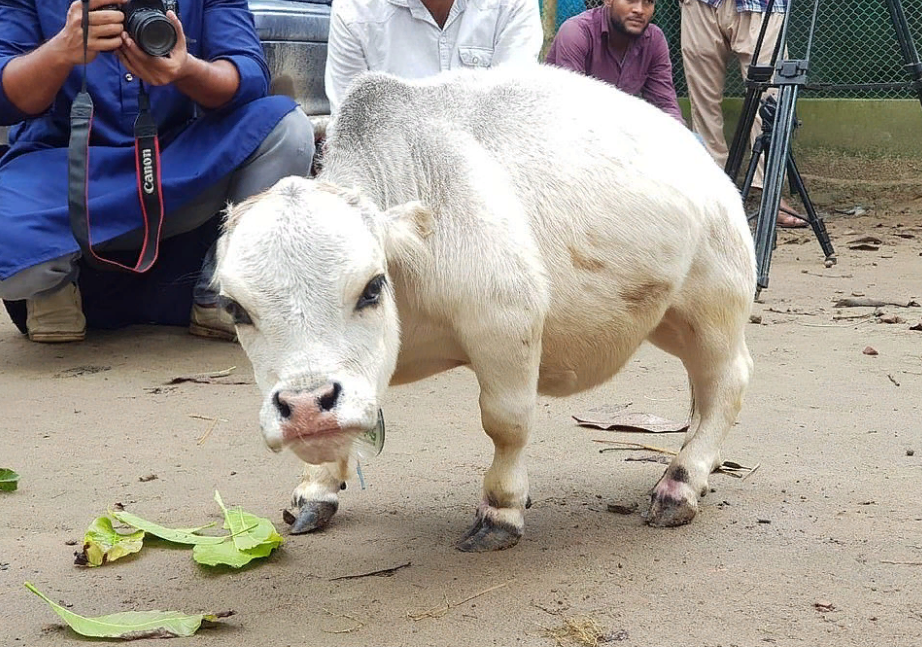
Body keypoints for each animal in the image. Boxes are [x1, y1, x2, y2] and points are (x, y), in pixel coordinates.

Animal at [214, 64, 756, 552]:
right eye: (235, 308)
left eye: (371, 287)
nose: (306, 407)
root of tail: (706, 164)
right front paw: (317, 487)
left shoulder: (505, 324)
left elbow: (506, 423)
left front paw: (502, 509)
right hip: (669, 320)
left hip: (712, 312)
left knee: (727, 383)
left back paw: (682, 481)